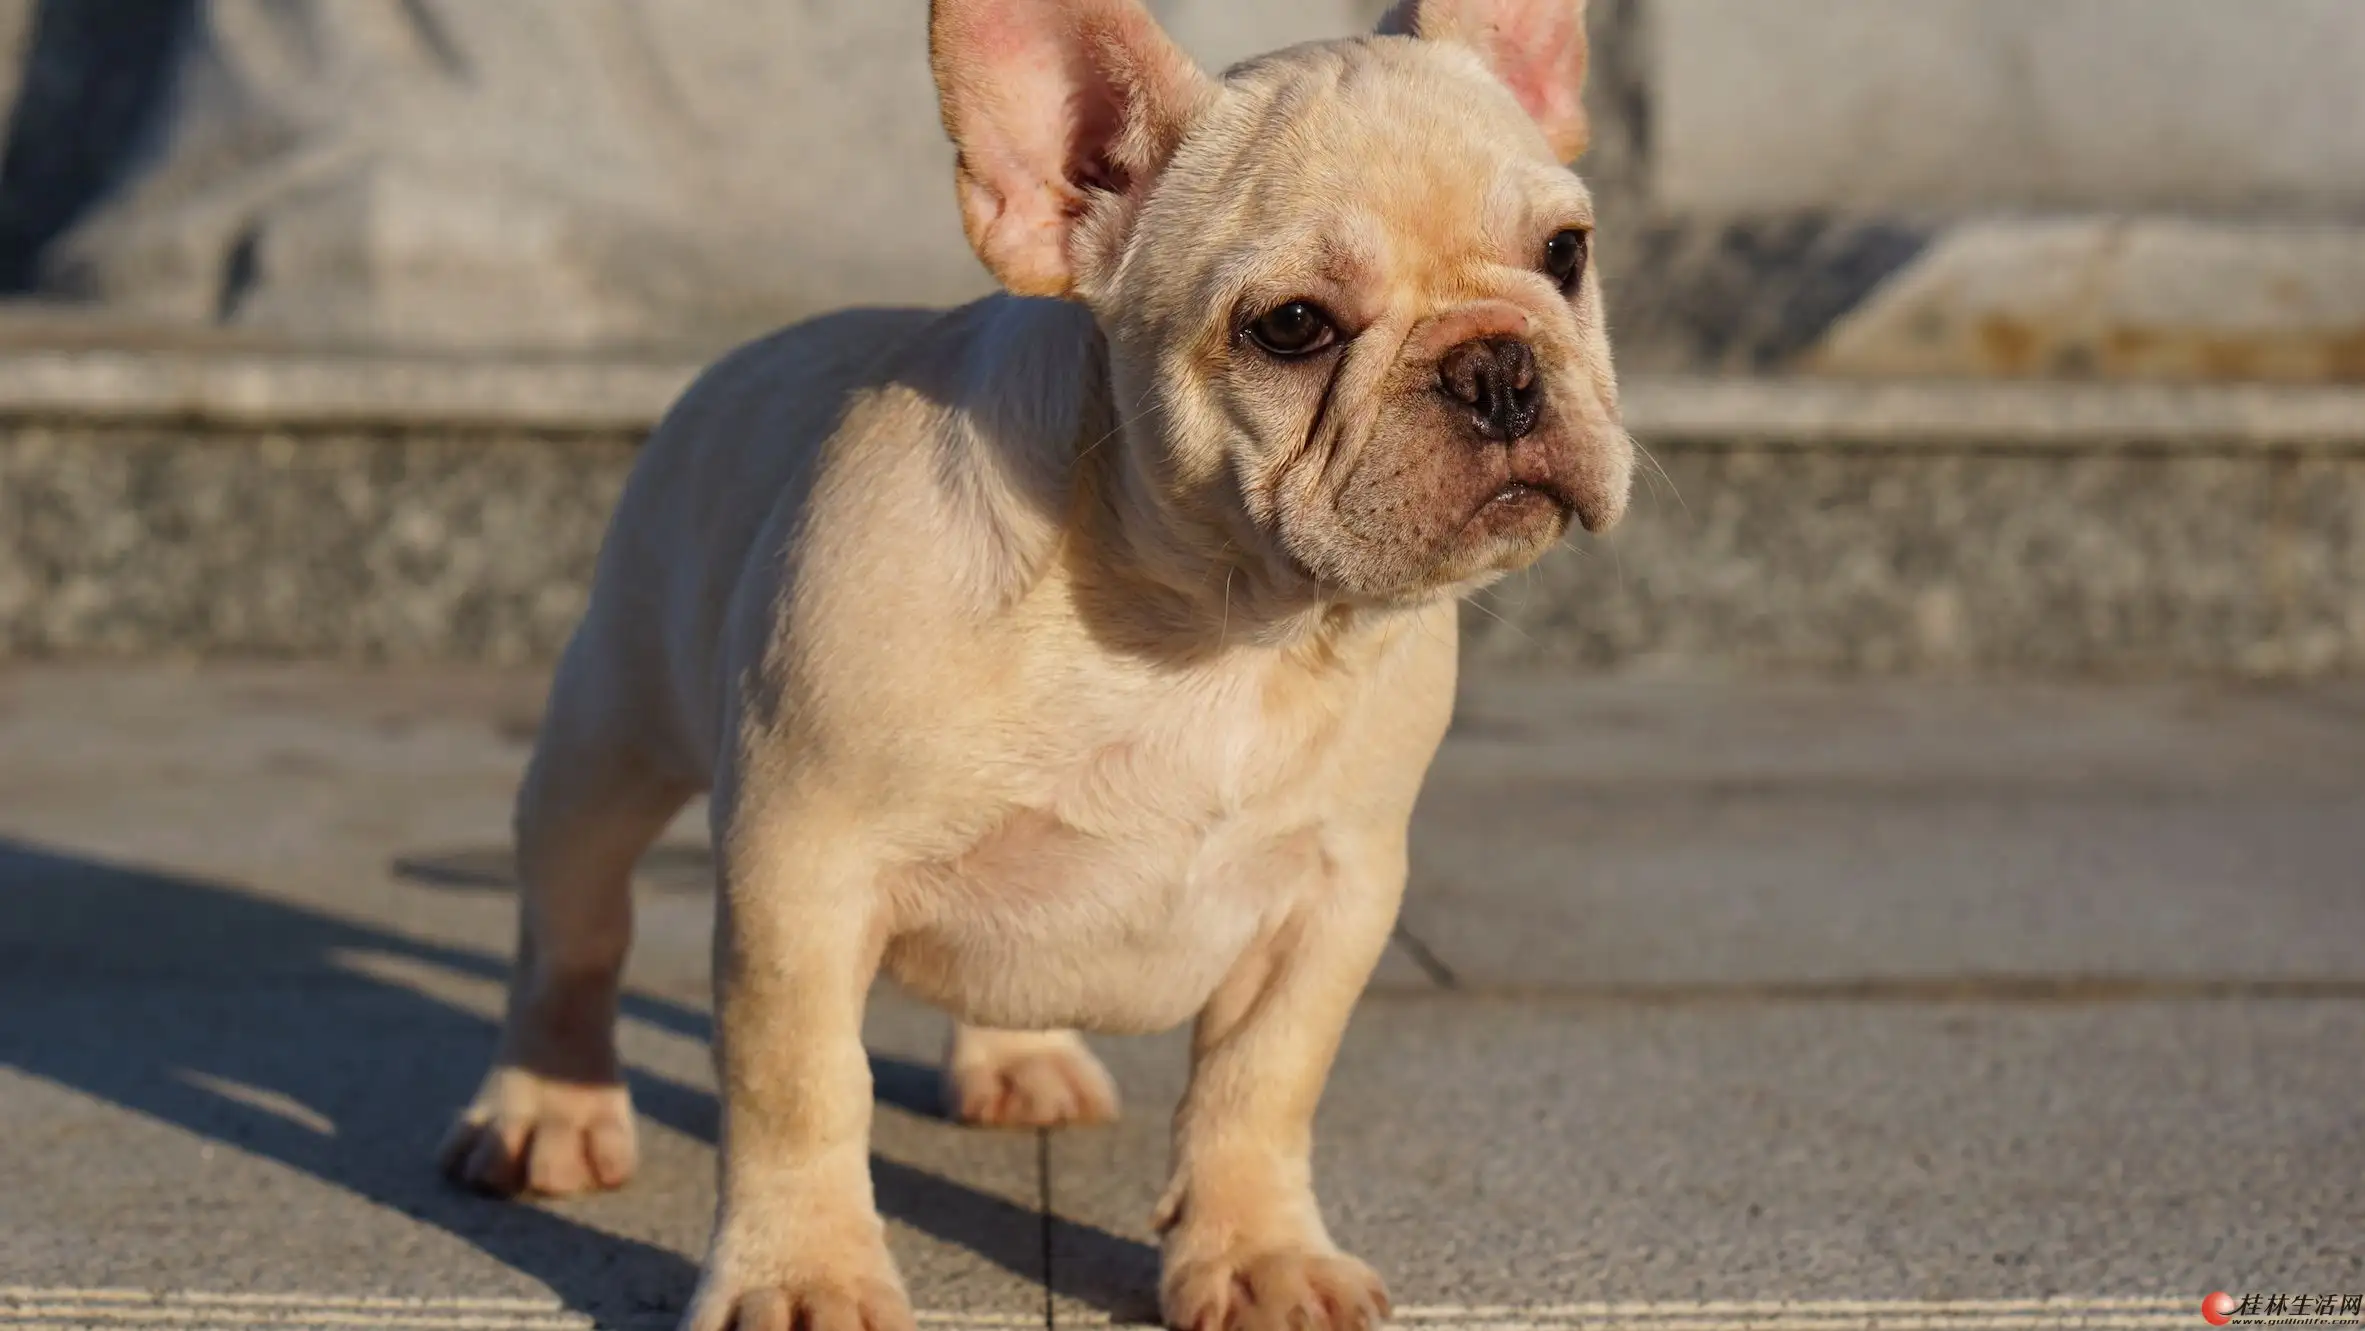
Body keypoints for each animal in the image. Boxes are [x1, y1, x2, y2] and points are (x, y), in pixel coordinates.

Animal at [439, 0, 1627, 1323]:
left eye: (1565, 253)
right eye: (1292, 327)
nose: (1496, 366)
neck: (1212, 627)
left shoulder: (1336, 891)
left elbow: (1260, 1084)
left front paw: (1258, 1252)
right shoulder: (801, 869)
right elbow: (799, 1088)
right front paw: (803, 1274)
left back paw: (1021, 1061)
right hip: (607, 742)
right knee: (572, 930)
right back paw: (547, 1111)